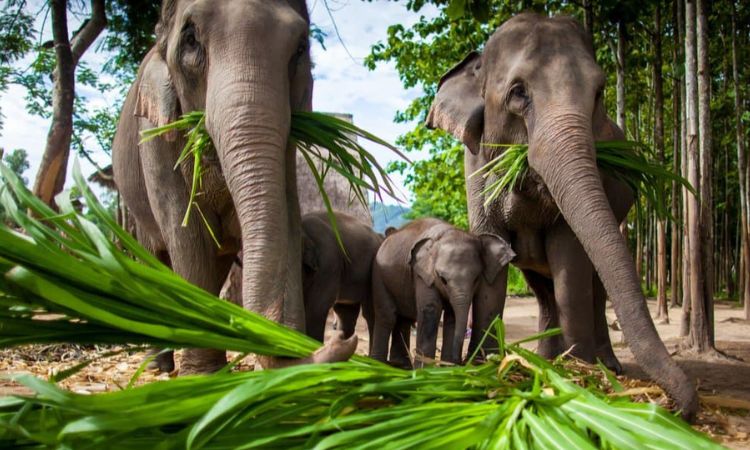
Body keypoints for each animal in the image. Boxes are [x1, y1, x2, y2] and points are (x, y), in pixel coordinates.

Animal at [112, 0, 355, 374]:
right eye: (191, 40)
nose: (341, 340)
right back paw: (159, 365)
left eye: (300, 48)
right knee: (156, 256)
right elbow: (186, 233)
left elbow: (286, 215)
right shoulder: (153, 137)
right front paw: (201, 374)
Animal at [370, 218, 514, 368]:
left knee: (404, 319)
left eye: (476, 279)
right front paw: (424, 370)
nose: (460, 362)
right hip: (378, 275)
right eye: (442, 279)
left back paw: (401, 366)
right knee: (387, 316)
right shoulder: (422, 275)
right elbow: (431, 310)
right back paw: (377, 364)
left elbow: (452, 317)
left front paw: (447, 367)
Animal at [425, 13, 698, 417]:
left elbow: (570, 257)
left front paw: (579, 372)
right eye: (518, 93)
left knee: (593, 286)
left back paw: (602, 364)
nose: (673, 407)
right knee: (542, 289)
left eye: (599, 93)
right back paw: (543, 357)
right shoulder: (474, 167)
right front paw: (487, 365)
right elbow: (492, 253)